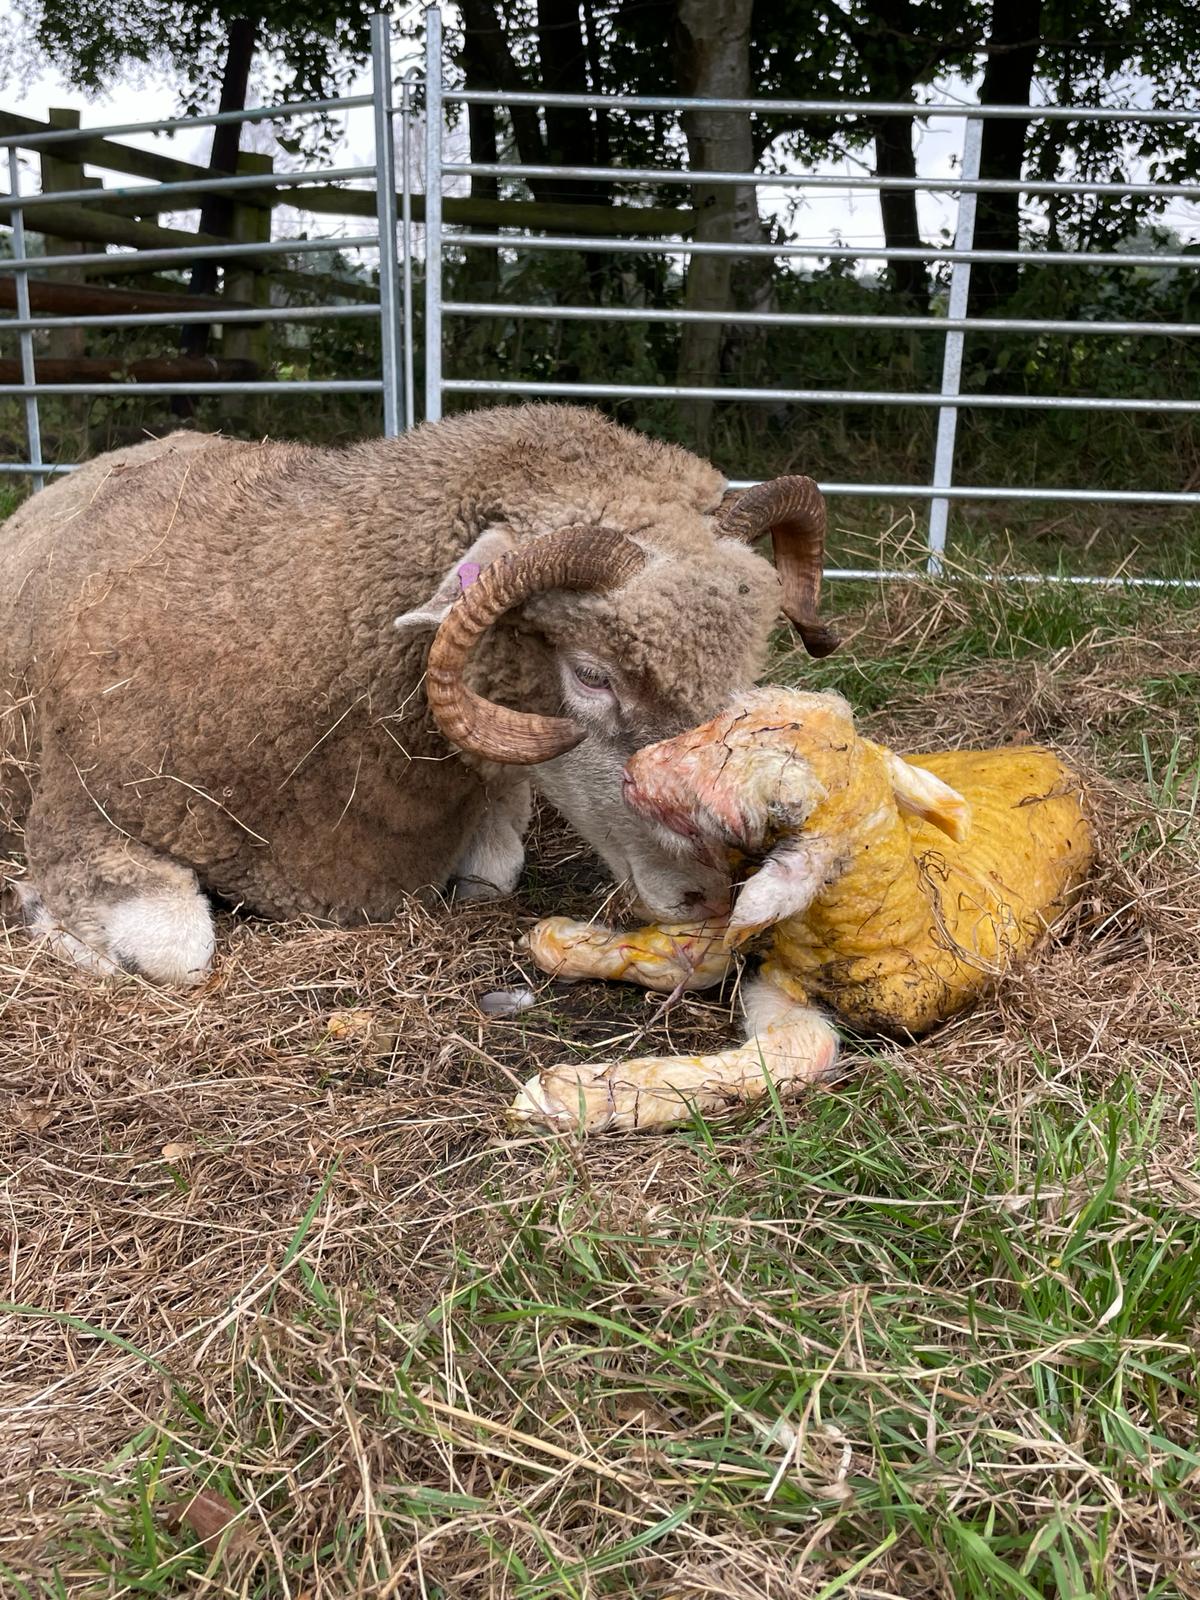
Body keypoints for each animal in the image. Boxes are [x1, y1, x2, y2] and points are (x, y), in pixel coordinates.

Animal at [0, 406, 838, 985]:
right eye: (592, 674)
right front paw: (44, 916)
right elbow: (177, 948)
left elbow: (494, 869)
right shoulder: (83, 812)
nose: (711, 894)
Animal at [512, 687, 1094, 1132]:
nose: (634, 770)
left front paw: (574, 1094)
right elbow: (697, 957)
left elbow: (797, 1050)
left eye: (735, 814)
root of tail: (1045, 754)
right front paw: (565, 943)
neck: (908, 917)